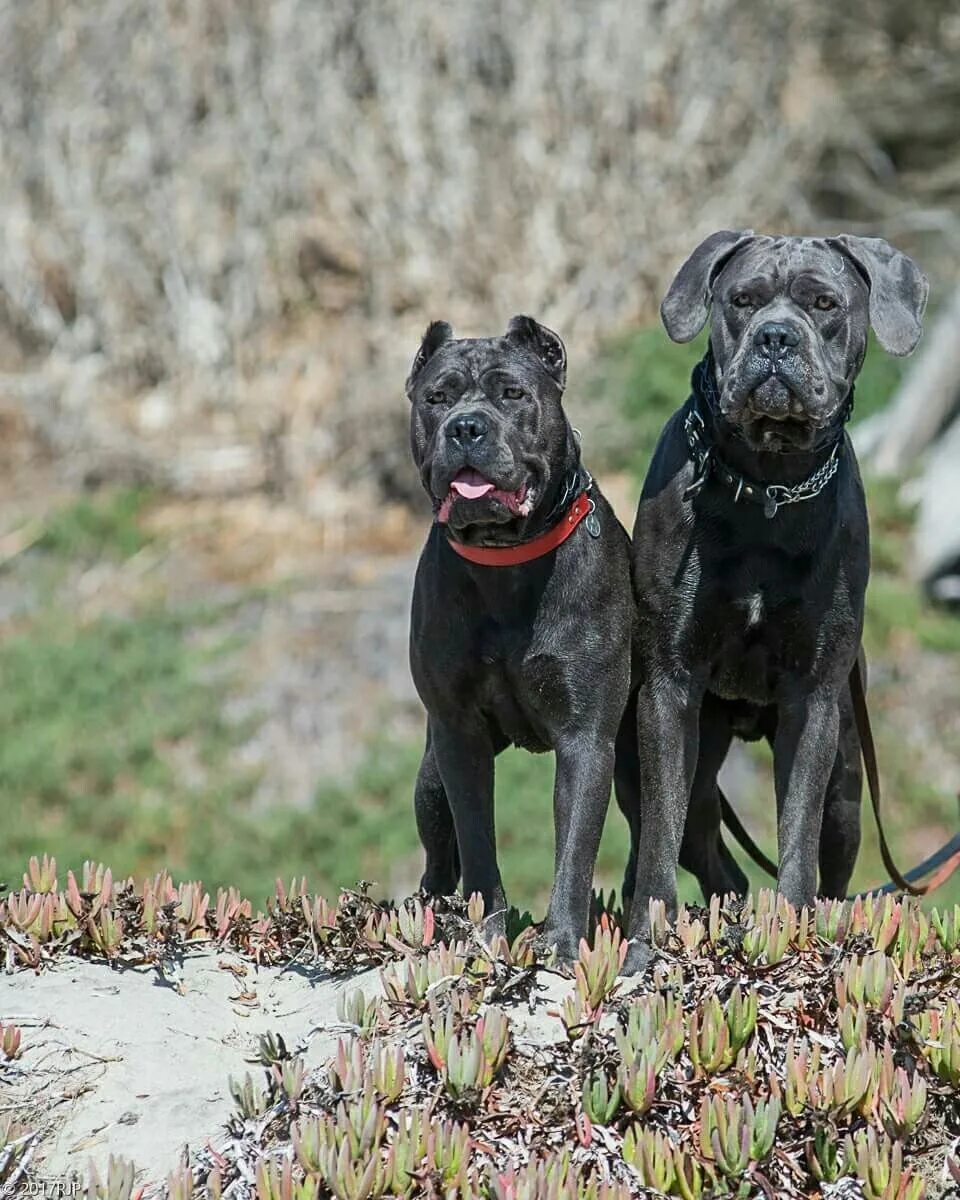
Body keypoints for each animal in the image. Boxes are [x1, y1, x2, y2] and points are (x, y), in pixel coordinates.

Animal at [405, 316, 638, 955]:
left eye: (511, 393)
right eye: (436, 398)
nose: (466, 426)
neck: (505, 561)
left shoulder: (587, 740)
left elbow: (575, 846)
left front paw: (559, 939)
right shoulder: (458, 735)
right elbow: (477, 840)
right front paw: (485, 930)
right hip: (429, 778)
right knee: (439, 856)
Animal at [624, 229, 931, 969]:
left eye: (824, 304)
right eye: (742, 300)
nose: (775, 338)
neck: (767, 483)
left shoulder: (813, 701)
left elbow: (796, 835)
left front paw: (789, 930)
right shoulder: (669, 690)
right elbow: (658, 839)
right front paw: (645, 946)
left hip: (848, 783)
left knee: (829, 860)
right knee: (698, 847)